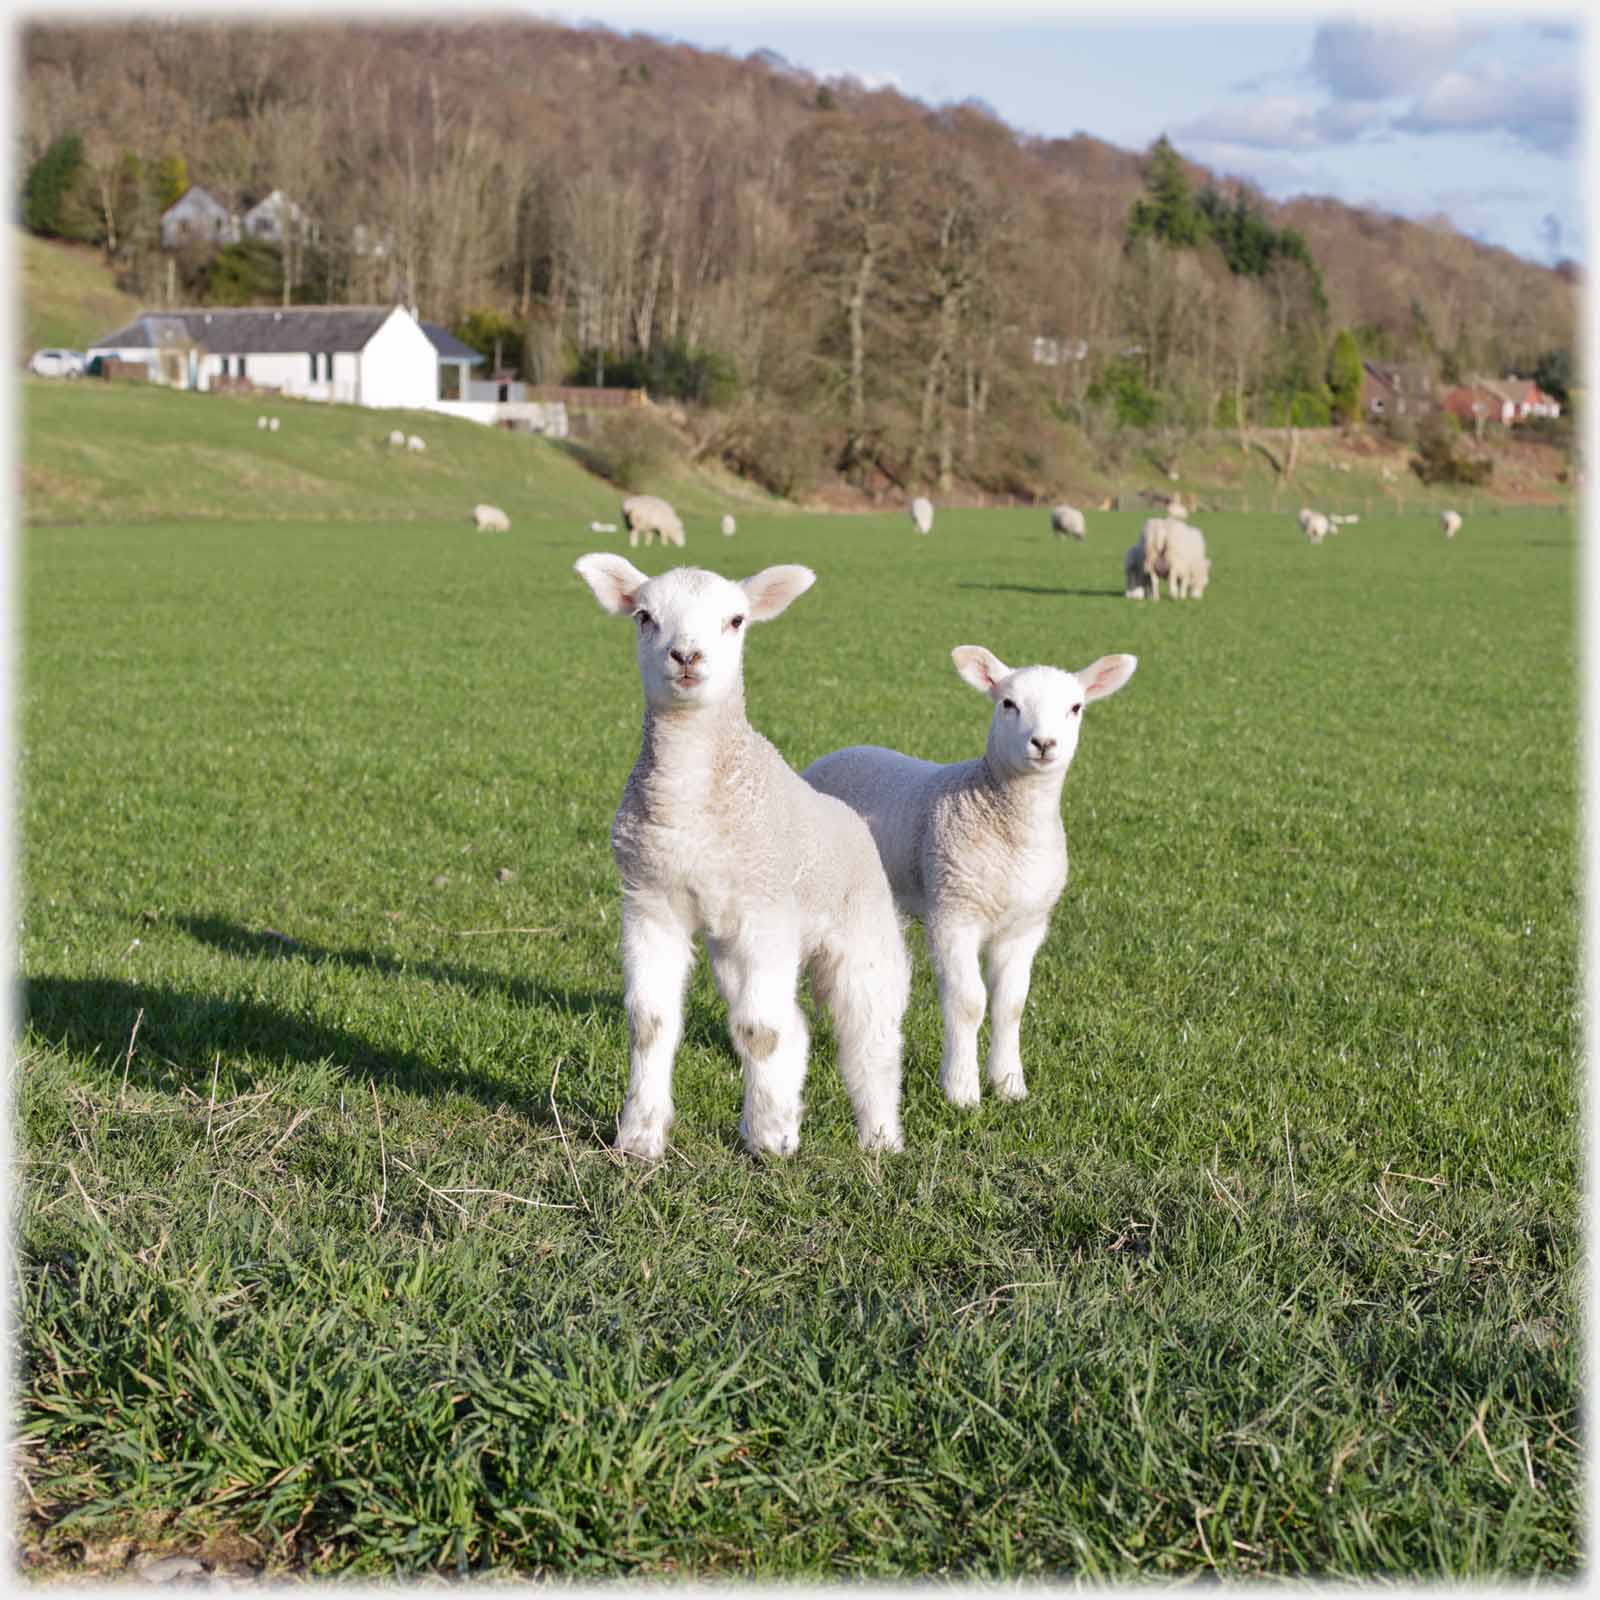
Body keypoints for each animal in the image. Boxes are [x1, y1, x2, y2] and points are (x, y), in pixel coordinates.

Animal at [573, 554, 909, 1160]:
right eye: (643, 616)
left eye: (736, 620)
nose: (686, 656)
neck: (690, 808)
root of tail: (851, 817)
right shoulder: (650, 901)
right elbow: (651, 1023)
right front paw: (639, 1136)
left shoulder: (766, 910)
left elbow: (760, 1031)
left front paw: (770, 1139)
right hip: (730, 942)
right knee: (795, 1023)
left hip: (861, 934)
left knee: (869, 1034)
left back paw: (878, 1137)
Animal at [804, 645, 1136, 1106]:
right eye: (1008, 704)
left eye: (1076, 707)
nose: (1044, 744)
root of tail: (833, 755)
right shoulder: (953, 914)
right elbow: (968, 1002)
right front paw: (962, 1090)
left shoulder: (1025, 927)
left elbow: (1010, 1004)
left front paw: (1010, 1085)